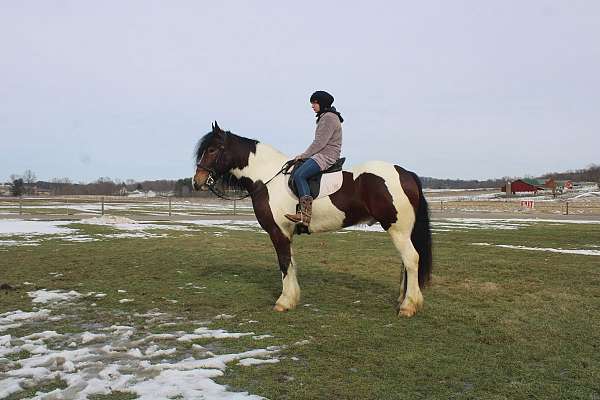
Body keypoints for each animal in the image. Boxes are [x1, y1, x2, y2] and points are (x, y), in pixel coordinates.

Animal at [192, 121, 432, 316]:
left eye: (212, 149)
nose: (197, 181)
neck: (267, 178)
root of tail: (406, 173)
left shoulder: (278, 231)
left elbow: (284, 263)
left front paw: (283, 302)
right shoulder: (287, 232)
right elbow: (291, 263)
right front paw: (292, 298)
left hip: (398, 230)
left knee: (411, 259)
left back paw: (408, 306)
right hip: (401, 231)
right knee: (406, 262)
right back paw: (402, 299)